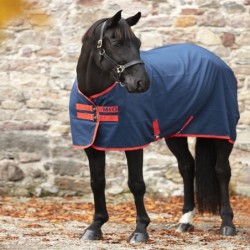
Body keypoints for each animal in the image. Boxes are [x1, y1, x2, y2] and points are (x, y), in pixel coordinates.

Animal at [69, 10, 240, 243]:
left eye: (138, 43)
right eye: (115, 42)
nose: (142, 83)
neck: (95, 96)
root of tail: (218, 62)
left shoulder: (133, 142)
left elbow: (136, 184)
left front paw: (140, 230)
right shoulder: (91, 145)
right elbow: (97, 182)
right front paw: (95, 226)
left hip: (221, 129)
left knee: (222, 171)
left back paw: (227, 223)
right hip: (176, 134)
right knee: (187, 167)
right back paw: (185, 221)